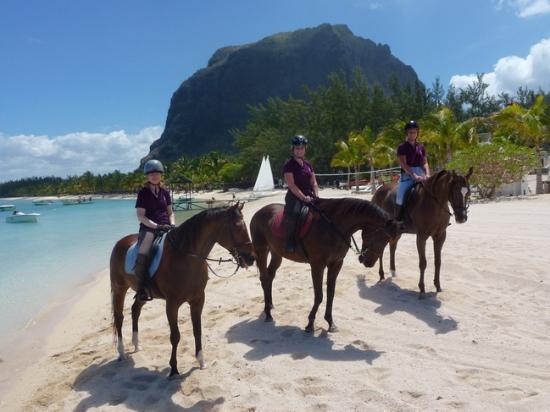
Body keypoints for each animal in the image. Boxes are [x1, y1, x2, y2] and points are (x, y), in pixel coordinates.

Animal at [110, 203, 256, 376]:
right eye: (236, 226)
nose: (251, 258)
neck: (186, 257)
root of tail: (120, 242)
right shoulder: (172, 304)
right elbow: (175, 336)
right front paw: (173, 369)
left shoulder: (198, 300)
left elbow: (197, 330)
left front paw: (201, 361)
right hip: (119, 289)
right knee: (119, 318)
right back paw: (121, 352)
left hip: (142, 294)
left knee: (135, 311)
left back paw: (137, 345)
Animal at [252, 198, 404, 334]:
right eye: (381, 237)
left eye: (387, 240)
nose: (369, 262)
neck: (333, 228)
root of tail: (259, 212)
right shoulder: (317, 265)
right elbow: (319, 295)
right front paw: (310, 323)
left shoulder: (336, 263)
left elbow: (330, 293)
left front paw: (330, 322)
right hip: (261, 250)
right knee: (264, 278)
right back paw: (268, 313)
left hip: (276, 253)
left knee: (270, 276)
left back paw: (270, 305)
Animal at [366, 167, 474, 296]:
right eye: (455, 192)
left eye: (468, 193)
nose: (462, 218)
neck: (435, 203)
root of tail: (379, 190)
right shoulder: (421, 236)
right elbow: (423, 263)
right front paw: (422, 289)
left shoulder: (440, 236)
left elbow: (438, 262)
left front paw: (438, 286)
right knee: (381, 249)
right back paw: (381, 274)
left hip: (396, 232)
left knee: (392, 246)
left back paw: (393, 271)